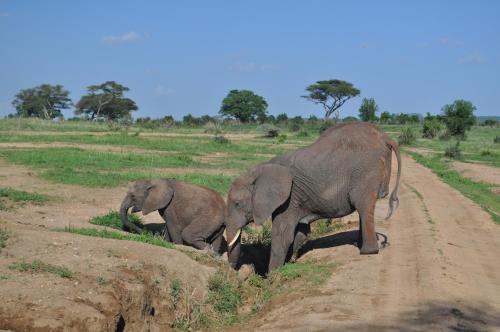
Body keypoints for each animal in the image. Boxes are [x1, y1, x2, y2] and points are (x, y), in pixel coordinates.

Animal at [227, 123, 402, 272]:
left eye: (237, 204)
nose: (233, 270)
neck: (258, 170)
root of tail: (385, 137)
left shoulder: (290, 197)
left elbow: (282, 234)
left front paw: (272, 277)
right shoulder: (297, 199)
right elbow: (301, 232)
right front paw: (287, 264)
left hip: (365, 172)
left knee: (363, 205)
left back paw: (368, 251)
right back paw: (359, 244)